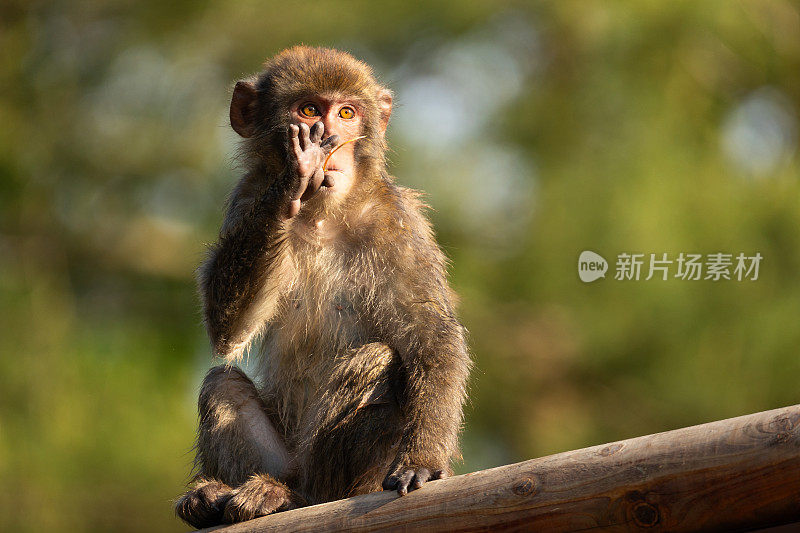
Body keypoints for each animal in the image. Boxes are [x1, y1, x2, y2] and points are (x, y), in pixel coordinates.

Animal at [176, 46, 472, 528]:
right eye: (310, 110)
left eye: (347, 113)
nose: (328, 139)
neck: (322, 215)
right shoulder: (246, 197)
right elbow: (228, 332)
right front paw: (290, 182)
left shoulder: (398, 225)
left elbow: (432, 336)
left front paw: (424, 461)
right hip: (281, 459)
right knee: (222, 384)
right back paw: (219, 497)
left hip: (349, 477)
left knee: (376, 360)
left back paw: (297, 499)